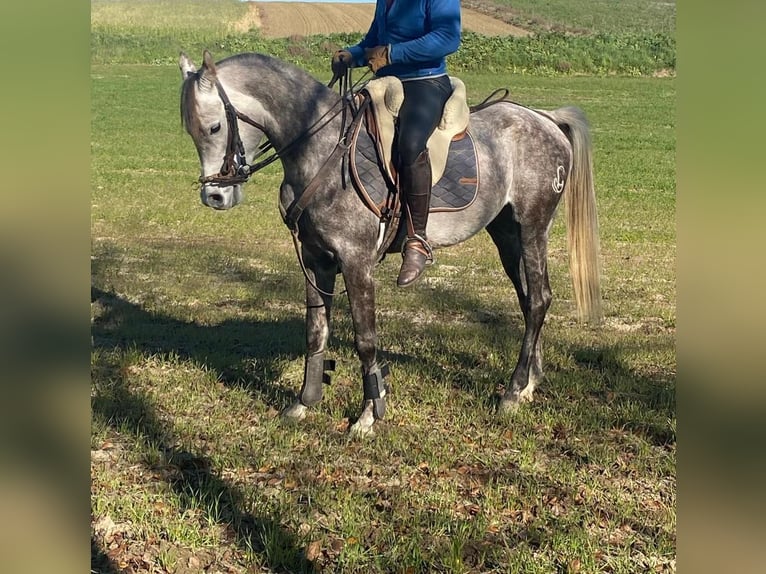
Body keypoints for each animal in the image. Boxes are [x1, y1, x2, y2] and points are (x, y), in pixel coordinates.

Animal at [182, 50, 608, 436]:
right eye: (191, 130)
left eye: (215, 127)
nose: (215, 197)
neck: (321, 148)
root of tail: (545, 118)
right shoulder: (315, 259)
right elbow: (316, 331)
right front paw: (304, 403)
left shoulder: (356, 263)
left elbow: (365, 339)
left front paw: (369, 415)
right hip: (507, 234)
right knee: (529, 300)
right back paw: (530, 383)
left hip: (533, 228)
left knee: (538, 301)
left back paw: (513, 391)